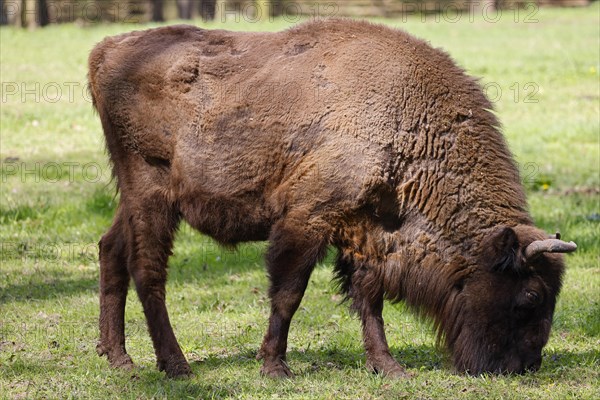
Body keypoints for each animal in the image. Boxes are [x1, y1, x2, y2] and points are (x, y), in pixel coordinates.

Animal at [89, 19, 576, 378]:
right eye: (531, 295)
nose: (525, 366)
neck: (409, 125)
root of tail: (107, 50)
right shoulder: (307, 221)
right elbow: (288, 294)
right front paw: (275, 368)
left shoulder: (365, 233)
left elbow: (369, 300)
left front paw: (387, 367)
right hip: (152, 196)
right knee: (148, 272)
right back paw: (176, 366)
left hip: (133, 200)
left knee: (111, 249)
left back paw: (120, 359)